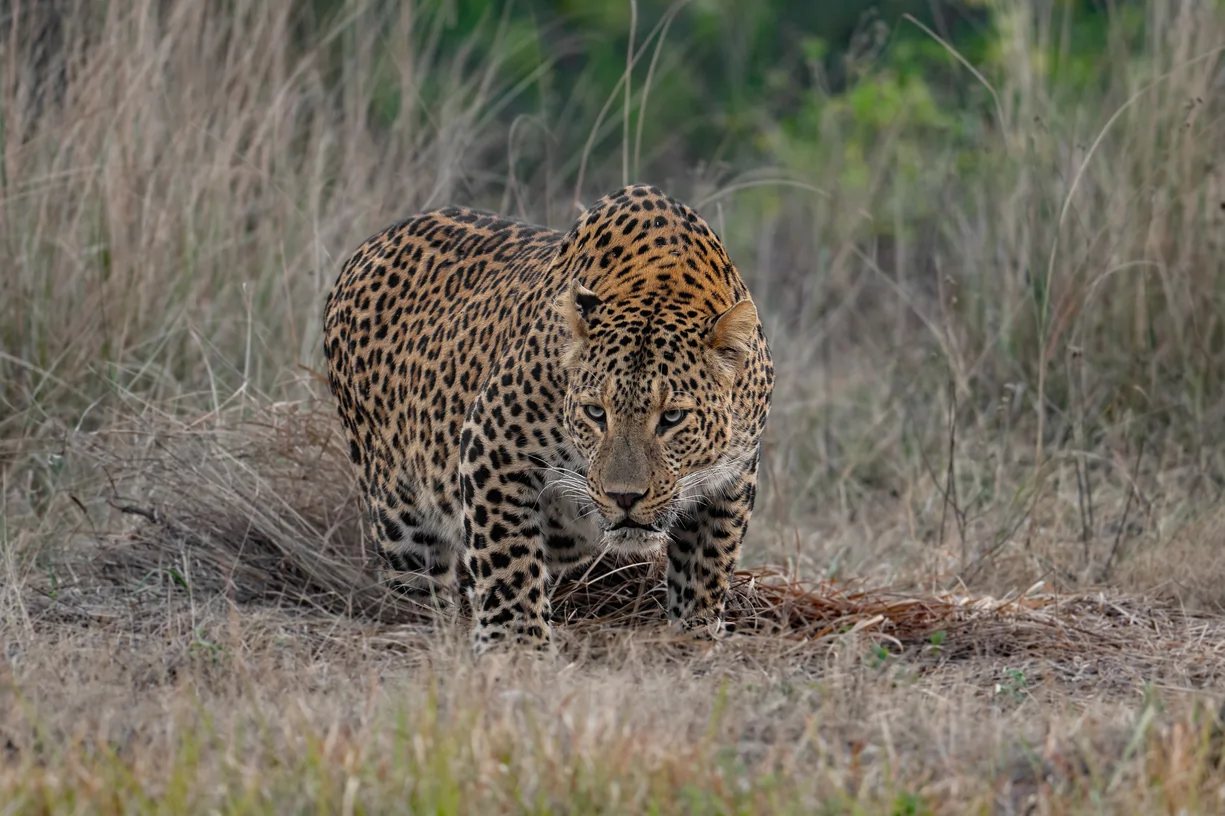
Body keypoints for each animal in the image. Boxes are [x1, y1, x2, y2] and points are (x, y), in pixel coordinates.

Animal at [323, 184, 774, 655]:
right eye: (596, 413)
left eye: (671, 418)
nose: (624, 497)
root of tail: (368, 247)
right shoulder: (493, 442)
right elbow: (507, 556)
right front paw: (516, 645)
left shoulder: (734, 476)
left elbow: (707, 565)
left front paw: (694, 639)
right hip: (401, 519)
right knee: (418, 585)